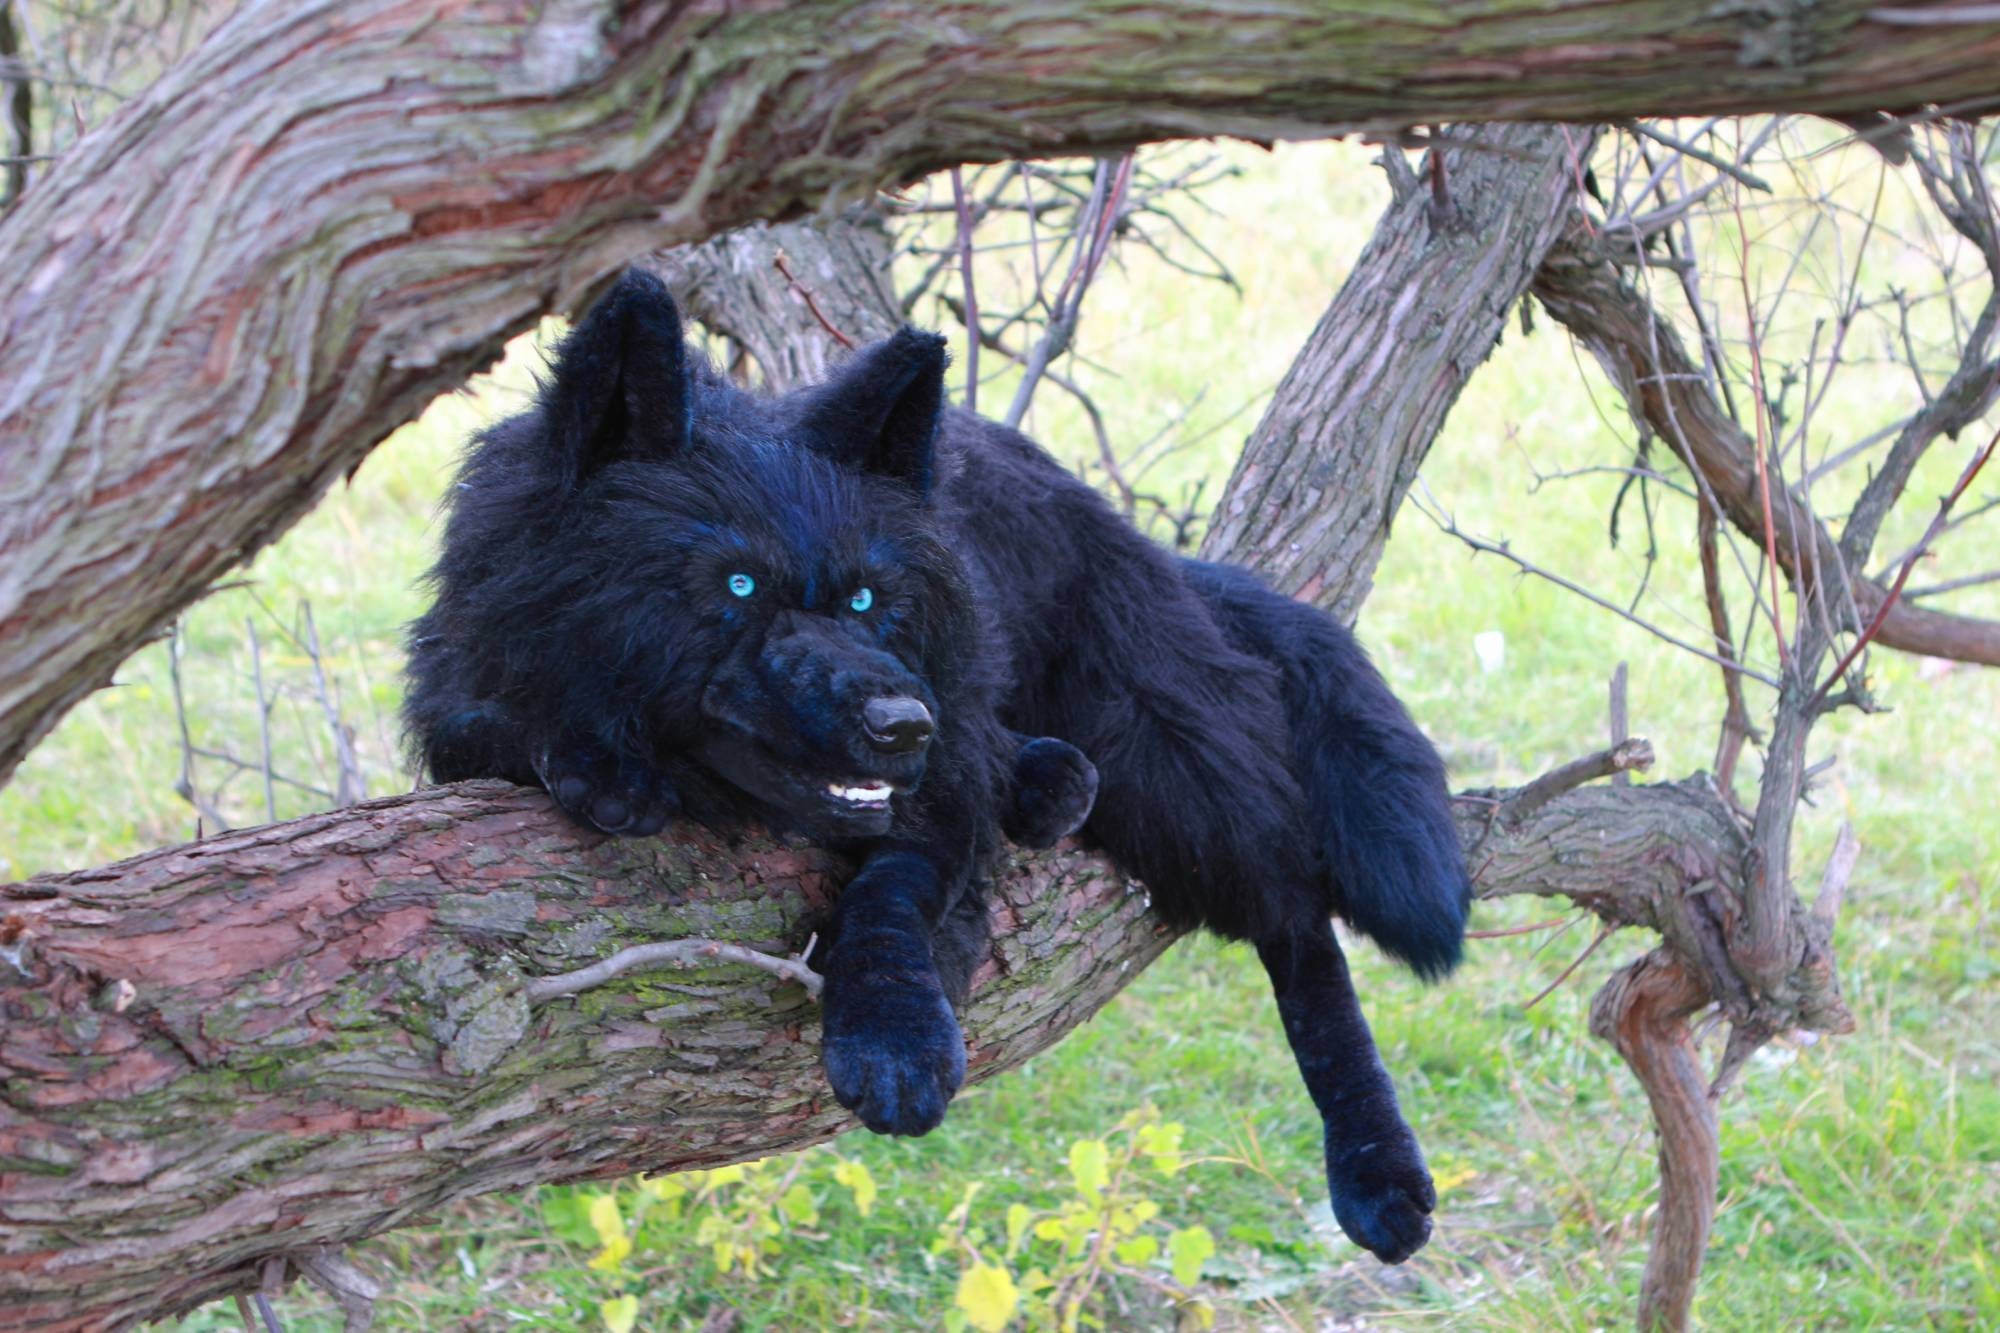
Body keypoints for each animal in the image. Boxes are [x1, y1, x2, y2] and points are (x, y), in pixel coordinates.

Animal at [404, 269, 1470, 1264]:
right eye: (738, 584)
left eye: (868, 598)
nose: (901, 725)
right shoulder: (457, 690)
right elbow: (486, 721)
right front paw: (594, 756)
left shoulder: (940, 795)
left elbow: (895, 894)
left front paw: (893, 1033)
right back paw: (1044, 778)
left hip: (1167, 748)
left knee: (1299, 929)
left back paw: (1376, 1164)